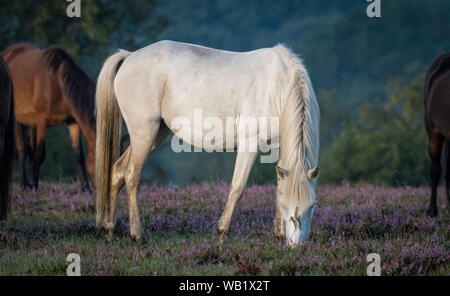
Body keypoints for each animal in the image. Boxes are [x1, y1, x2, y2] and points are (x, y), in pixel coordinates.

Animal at [0, 42, 96, 191]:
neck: (58, 83)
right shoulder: (42, 121)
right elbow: (40, 154)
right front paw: (34, 185)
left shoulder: (73, 121)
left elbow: (78, 154)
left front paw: (85, 188)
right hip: (16, 119)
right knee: (22, 149)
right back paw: (24, 183)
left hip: (31, 122)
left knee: (30, 148)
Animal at [95, 40, 320, 246]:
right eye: (288, 206)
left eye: (311, 206)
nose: (296, 245)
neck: (278, 88)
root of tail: (129, 56)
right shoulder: (249, 145)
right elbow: (238, 187)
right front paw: (222, 233)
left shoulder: (280, 149)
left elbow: (279, 186)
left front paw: (278, 234)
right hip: (144, 133)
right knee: (131, 177)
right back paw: (137, 235)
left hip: (154, 134)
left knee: (117, 172)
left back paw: (109, 232)